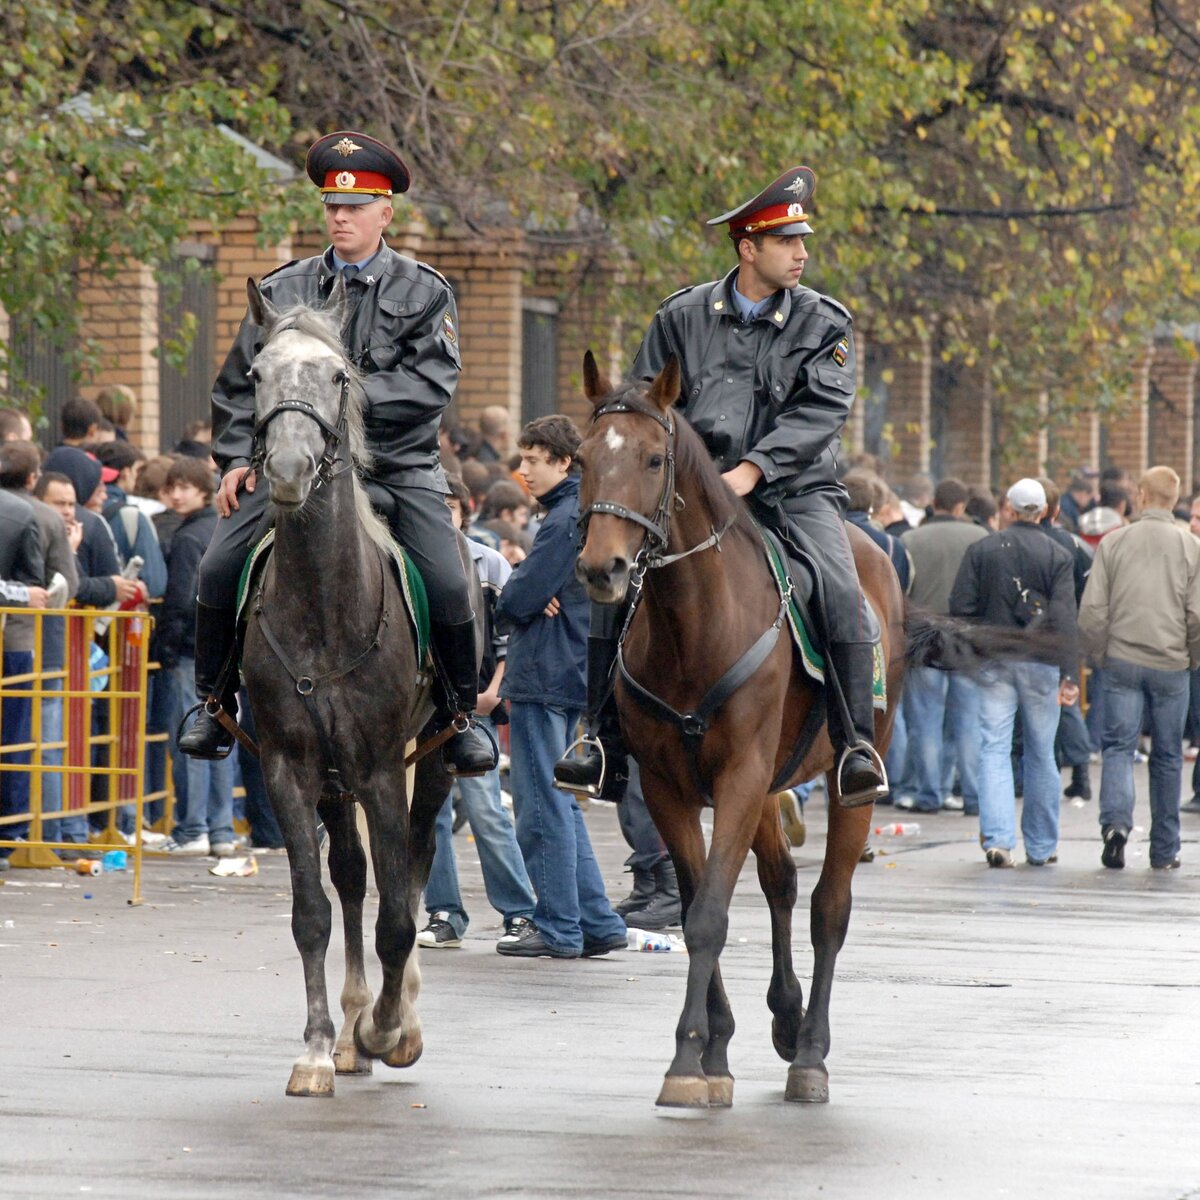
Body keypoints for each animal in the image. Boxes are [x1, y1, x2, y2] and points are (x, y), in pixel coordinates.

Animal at [241, 278, 451, 1099]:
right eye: (255, 374)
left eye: (338, 376)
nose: (288, 470)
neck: (326, 608)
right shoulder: (289, 769)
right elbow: (314, 910)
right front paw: (321, 1047)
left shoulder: (384, 769)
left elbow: (398, 917)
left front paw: (391, 1030)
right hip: (335, 782)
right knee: (354, 879)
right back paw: (356, 1023)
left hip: (436, 761)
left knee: (413, 867)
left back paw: (396, 1019)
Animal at [571, 350, 902, 1108]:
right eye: (581, 459)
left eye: (654, 457)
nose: (602, 569)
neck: (691, 626)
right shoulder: (671, 788)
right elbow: (700, 901)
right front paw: (713, 1049)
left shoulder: (741, 778)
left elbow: (710, 916)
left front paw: (688, 1058)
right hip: (765, 790)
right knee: (780, 882)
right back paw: (784, 1016)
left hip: (848, 782)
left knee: (828, 907)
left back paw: (810, 1053)